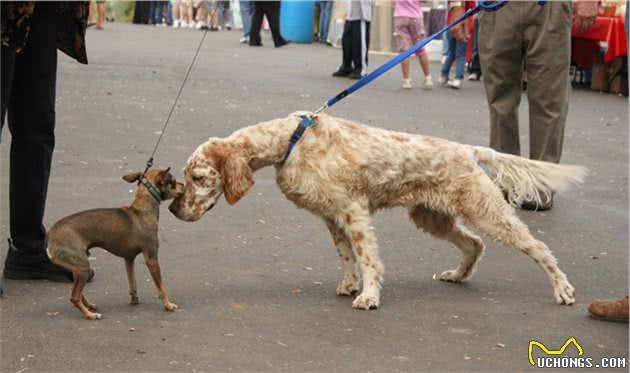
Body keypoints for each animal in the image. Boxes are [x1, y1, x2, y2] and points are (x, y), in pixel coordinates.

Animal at [46, 167, 185, 318]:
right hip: (83, 268)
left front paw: (134, 299)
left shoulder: (128, 259)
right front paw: (168, 305)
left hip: (76, 269)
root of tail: (51, 236)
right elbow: (161, 286)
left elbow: (132, 282)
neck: (141, 211)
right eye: (174, 182)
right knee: (74, 297)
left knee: (77, 293)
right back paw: (90, 315)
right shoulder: (152, 259)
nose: (183, 185)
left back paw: (89, 306)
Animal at [170, 112, 592, 310]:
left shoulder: (353, 211)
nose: (173, 208)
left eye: (198, 177)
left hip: (486, 209)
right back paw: (457, 275)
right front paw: (348, 285)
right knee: (473, 244)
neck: (290, 141)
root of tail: (467, 149)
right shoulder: (331, 216)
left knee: (539, 248)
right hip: (431, 216)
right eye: (187, 176)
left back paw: (563, 289)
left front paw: (369, 296)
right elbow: (346, 256)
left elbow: (367, 257)